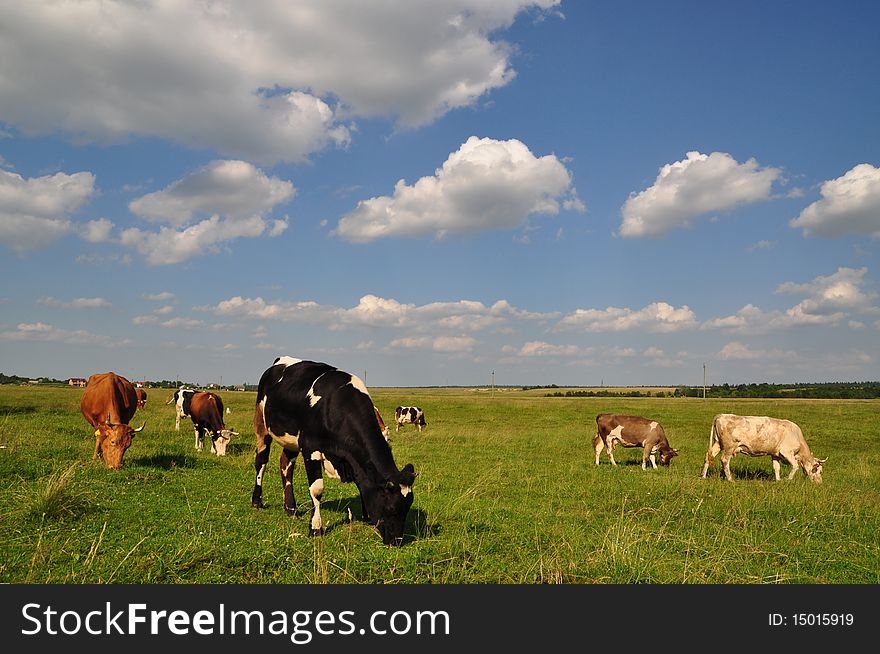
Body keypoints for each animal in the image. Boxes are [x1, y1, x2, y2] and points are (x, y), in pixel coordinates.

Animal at [249, 358, 418, 548]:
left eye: (408, 507)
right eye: (391, 508)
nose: (396, 541)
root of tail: (280, 361)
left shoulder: (354, 460)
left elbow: (362, 484)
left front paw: (366, 517)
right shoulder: (310, 448)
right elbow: (317, 489)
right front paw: (315, 528)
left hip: (291, 441)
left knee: (286, 466)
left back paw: (291, 508)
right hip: (261, 425)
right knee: (261, 462)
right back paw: (257, 501)